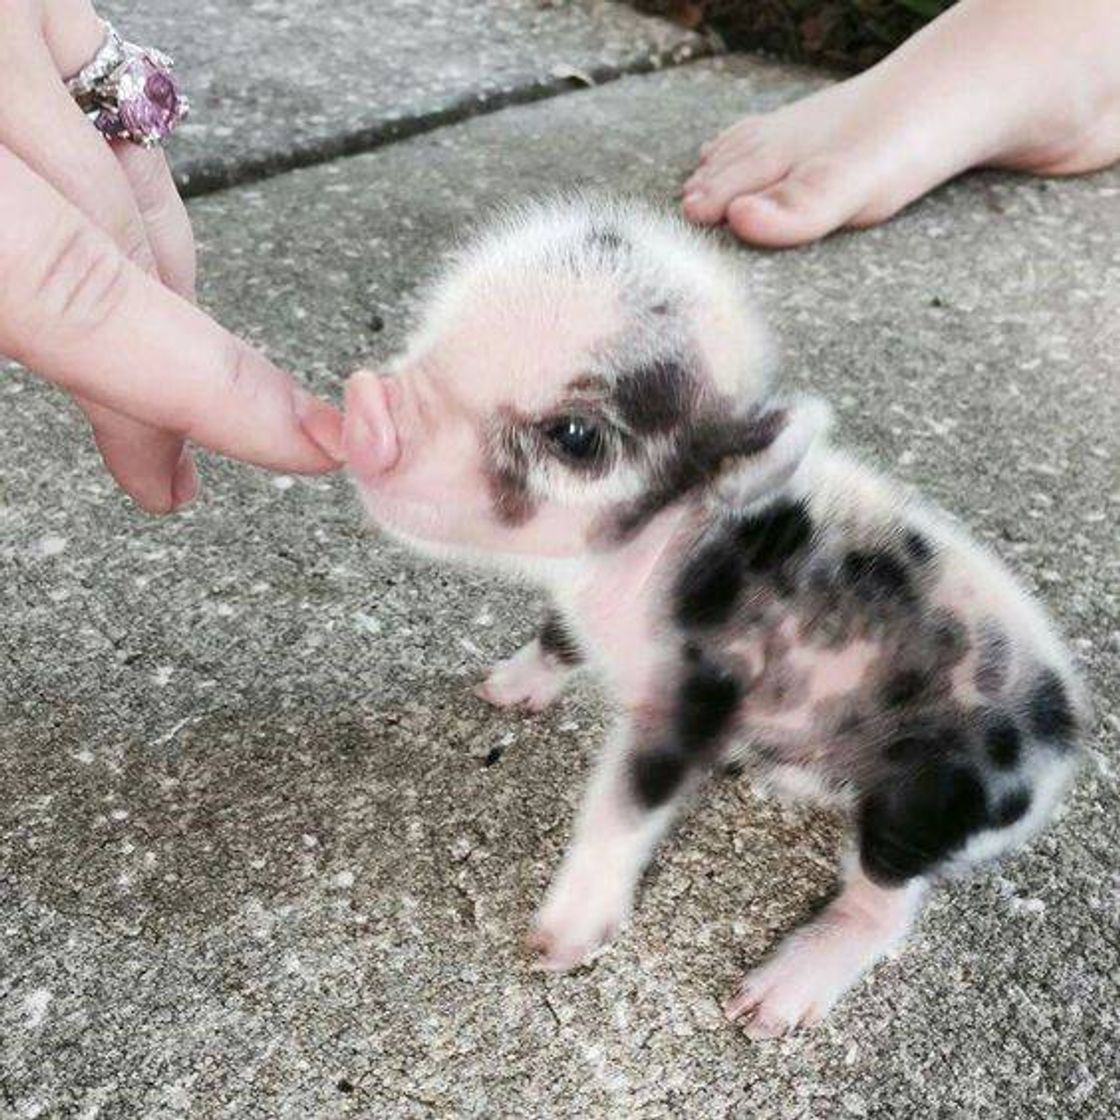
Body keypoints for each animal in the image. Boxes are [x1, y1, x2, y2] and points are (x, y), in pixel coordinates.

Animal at [343, 197, 1087, 1038]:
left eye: (576, 437)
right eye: (436, 332)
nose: (364, 405)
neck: (650, 559)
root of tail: (1064, 744)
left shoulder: (702, 690)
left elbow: (623, 810)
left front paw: (555, 946)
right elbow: (557, 637)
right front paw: (500, 690)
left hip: (932, 797)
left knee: (889, 901)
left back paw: (767, 1005)